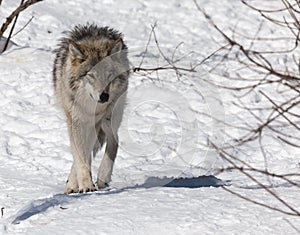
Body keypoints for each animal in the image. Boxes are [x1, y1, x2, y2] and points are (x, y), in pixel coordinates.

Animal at [53, 23, 130, 195]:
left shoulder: (95, 122)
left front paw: (87, 183)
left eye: (109, 74)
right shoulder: (76, 122)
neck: (89, 106)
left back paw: (102, 177)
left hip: (110, 117)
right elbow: (80, 157)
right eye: (91, 75)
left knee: (114, 140)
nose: (104, 96)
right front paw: (85, 185)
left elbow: (85, 153)